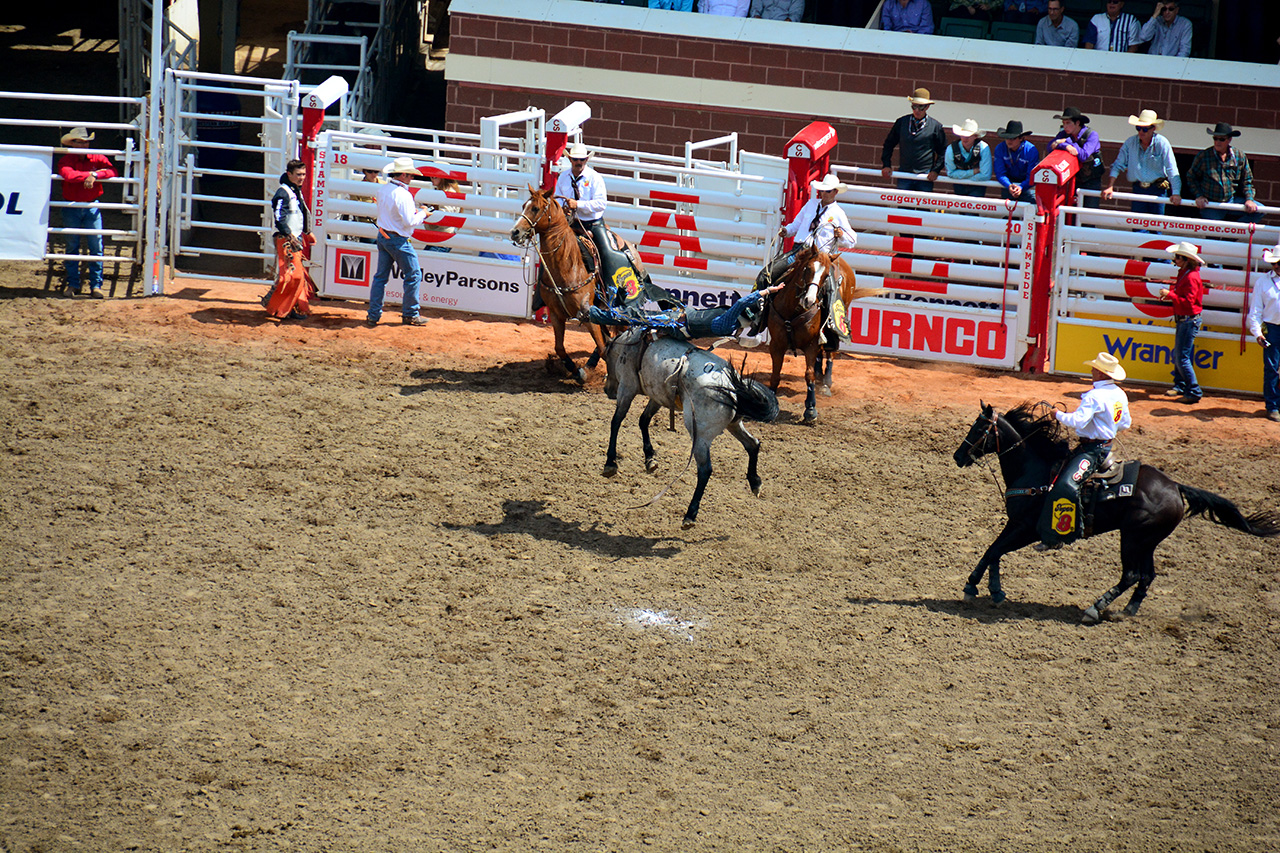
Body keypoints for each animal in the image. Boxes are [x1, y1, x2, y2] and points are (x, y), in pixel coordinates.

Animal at [509, 189, 609, 384]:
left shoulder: (588, 316)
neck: (568, 267)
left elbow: (603, 348)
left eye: (535, 208)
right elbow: (559, 348)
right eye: (524, 205)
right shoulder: (556, 315)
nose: (515, 232)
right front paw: (576, 371)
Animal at [601, 325, 778, 525]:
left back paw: (690, 513)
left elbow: (616, 421)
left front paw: (610, 462)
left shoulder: (627, 387)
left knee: (705, 469)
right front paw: (649, 458)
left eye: (604, 356)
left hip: (700, 436)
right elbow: (643, 420)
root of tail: (732, 386)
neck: (630, 344)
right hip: (733, 424)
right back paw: (755, 482)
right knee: (752, 444)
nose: (607, 390)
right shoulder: (658, 396)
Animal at [762, 242, 885, 422]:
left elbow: (809, 375)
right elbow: (775, 374)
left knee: (830, 353)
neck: (793, 311)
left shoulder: (811, 345)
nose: (810, 300)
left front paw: (810, 409)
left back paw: (826, 382)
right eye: (807, 268)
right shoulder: (776, 344)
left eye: (826, 275)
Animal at [952, 402, 1280, 622]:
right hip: (1146, 541)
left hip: (1132, 538)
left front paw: (974, 587)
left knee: (1132, 574)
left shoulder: (1026, 528)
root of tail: (1175, 487)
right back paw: (1127, 610)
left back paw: (1094, 608)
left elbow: (994, 550)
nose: (957, 456)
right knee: (1147, 575)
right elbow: (993, 550)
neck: (1035, 471)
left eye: (979, 429)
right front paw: (993, 591)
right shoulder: (1015, 524)